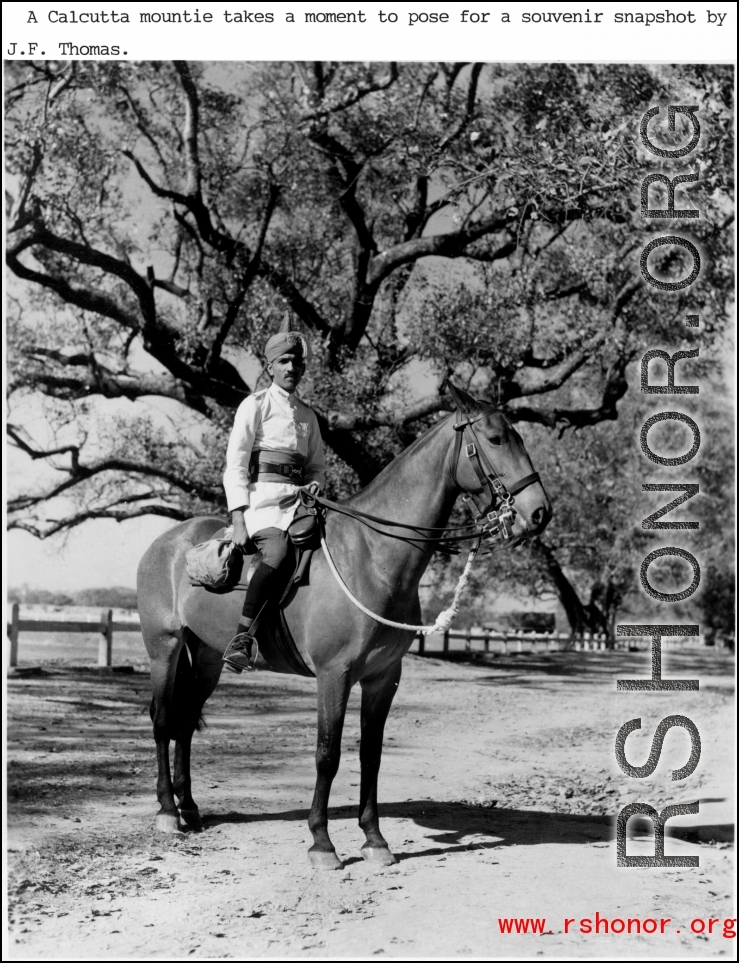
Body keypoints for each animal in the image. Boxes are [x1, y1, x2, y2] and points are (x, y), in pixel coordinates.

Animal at [139, 384, 552, 872]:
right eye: (495, 439)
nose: (539, 513)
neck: (372, 555)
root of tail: (167, 543)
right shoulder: (333, 676)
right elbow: (328, 754)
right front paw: (322, 842)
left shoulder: (382, 678)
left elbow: (370, 755)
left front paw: (374, 839)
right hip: (164, 649)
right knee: (164, 719)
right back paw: (168, 812)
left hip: (206, 659)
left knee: (184, 722)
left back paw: (189, 808)